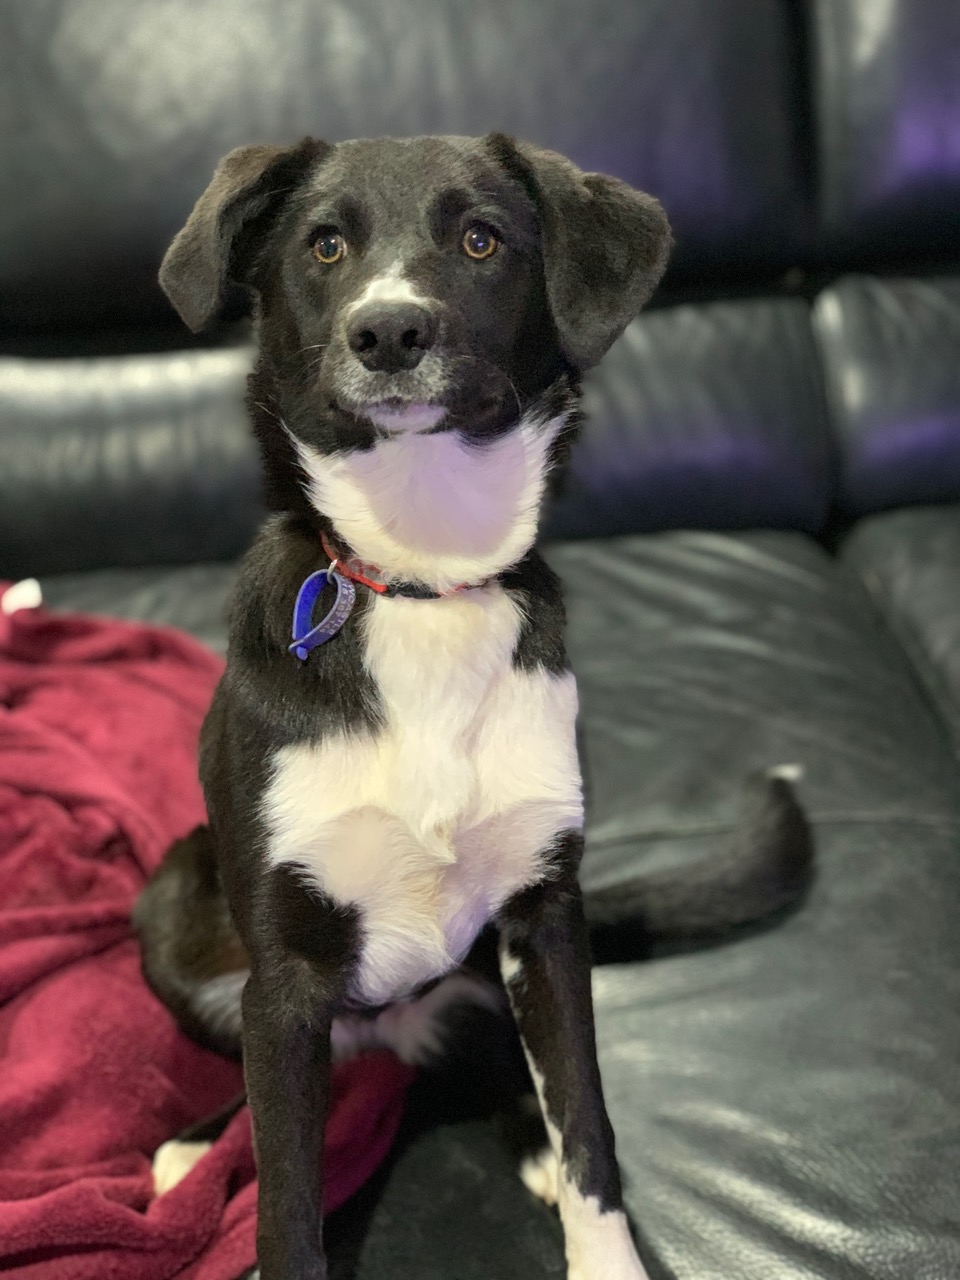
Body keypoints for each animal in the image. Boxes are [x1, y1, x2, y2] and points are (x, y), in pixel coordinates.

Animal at [134, 133, 812, 1280]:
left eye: (481, 239)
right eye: (324, 245)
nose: (389, 331)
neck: (423, 575)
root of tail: (383, 1036)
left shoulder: (546, 919)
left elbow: (589, 1123)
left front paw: (601, 1242)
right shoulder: (286, 975)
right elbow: (285, 1197)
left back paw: (521, 1138)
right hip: (178, 916)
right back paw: (193, 1147)